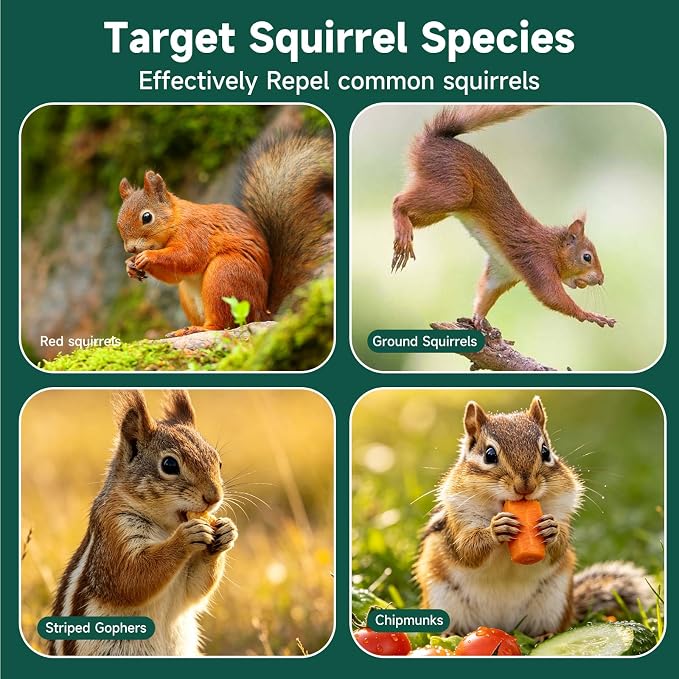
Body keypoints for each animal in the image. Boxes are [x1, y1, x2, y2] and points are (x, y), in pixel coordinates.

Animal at [48, 390, 237, 656]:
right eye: (169, 465)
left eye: (218, 461)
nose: (214, 497)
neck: (166, 528)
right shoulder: (114, 533)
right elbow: (131, 578)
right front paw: (186, 537)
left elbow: (196, 588)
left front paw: (227, 532)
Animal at [117, 133, 333, 337]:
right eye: (118, 221)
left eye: (147, 217)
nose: (131, 248)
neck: (176, 221)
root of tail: (263, 312)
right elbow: (175, 276)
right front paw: (130, 264)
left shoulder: (196, 234)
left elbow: (187, 257)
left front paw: (147, 256)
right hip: (190, 293)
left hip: (225, 273)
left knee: (221, 325)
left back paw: (197, 329)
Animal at [392, 105, 616, 329]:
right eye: (587, 257)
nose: (602, 279)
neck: (550, 247)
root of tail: (434, 139)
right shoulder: (537, 262)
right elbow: (551, 296)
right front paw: (590, 315)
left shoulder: (504, 271)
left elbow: (486, 293)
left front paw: (478, 319)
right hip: (454, 189)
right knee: (398, 201)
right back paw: (401, 222)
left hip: (439, 208)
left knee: (412, 216)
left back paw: (403, 235)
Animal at [414, 397, 652, 637]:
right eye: (489, 455)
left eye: (545, 452)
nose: (525, 487)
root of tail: (501, 625)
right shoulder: (458, 519)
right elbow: (467, 549)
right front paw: (495, 529)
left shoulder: (562, 510)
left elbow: (558, 547)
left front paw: (551, 530)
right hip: (443, 599)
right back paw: (449, 635)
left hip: (554, 602)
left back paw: (545, 636)